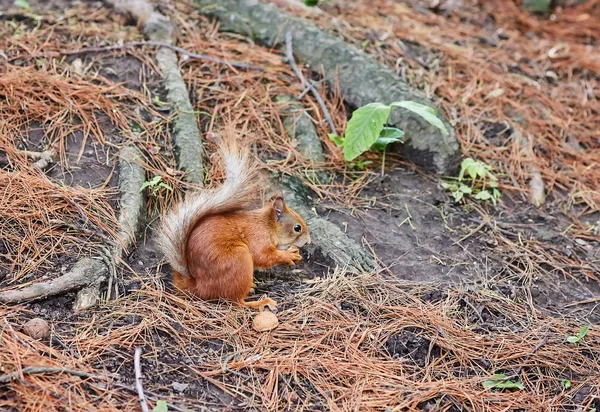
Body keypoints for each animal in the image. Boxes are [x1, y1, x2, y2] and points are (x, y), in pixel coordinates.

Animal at [155, 137, 312, 310]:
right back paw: (260, 302)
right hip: (239, 259)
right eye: (297, 228)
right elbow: (263, 256)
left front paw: (292, 251)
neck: (267, 225)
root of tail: (199, 286)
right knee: (236, 301)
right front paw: (288, 255)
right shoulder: (258, 237)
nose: (308, 241)